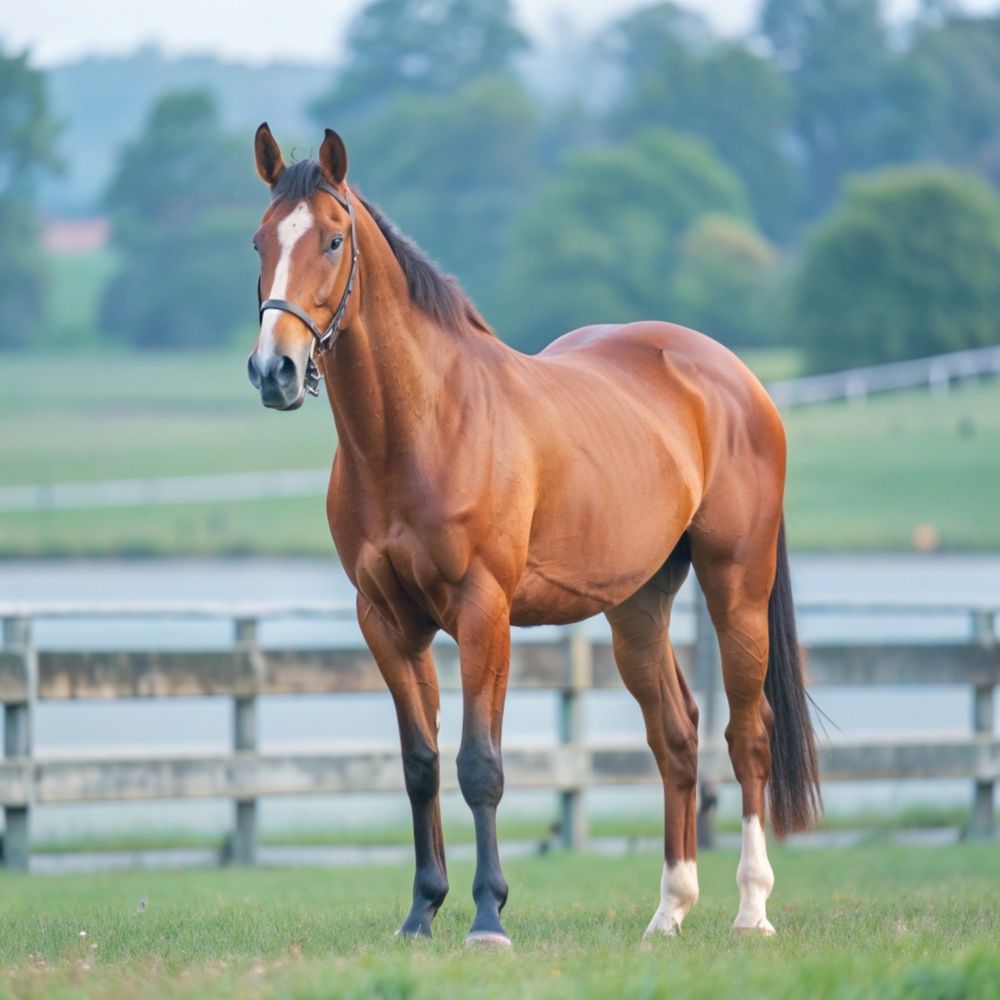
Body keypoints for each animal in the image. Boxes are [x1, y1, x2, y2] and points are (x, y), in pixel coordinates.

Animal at [246, 123, 820, 947]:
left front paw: (488, 916)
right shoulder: (386, 621)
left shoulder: (484, 614)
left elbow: (479, 765)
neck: (420, 428)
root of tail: (738, 380)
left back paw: (751, 909)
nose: (275, 371)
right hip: (637, 607)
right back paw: (668, 911)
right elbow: (420, 764)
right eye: (258, 241)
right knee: (675, 736)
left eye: (330, 239)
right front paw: (421, 912)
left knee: (748, 734)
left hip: (736, 587)